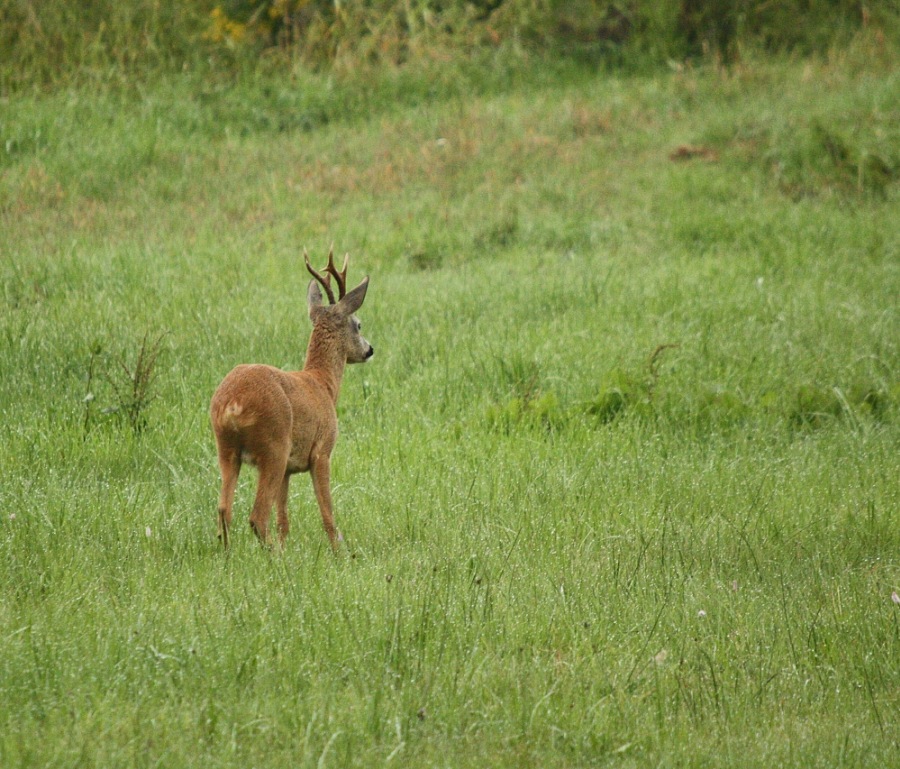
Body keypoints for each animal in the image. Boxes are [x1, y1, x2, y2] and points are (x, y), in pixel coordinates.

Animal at [209, 248, 373, 550]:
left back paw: (230, 554)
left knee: (224, 509)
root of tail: (232, 405)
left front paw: (287, 546)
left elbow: (283, 520)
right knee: (257, 516)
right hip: (273, 445)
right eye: (358, 324)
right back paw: (273, 556)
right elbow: (327, 513)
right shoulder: (322, 450)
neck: (324, 384)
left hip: (226, 449)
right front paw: (339, 552)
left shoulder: (288, 468)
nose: (369, 349)